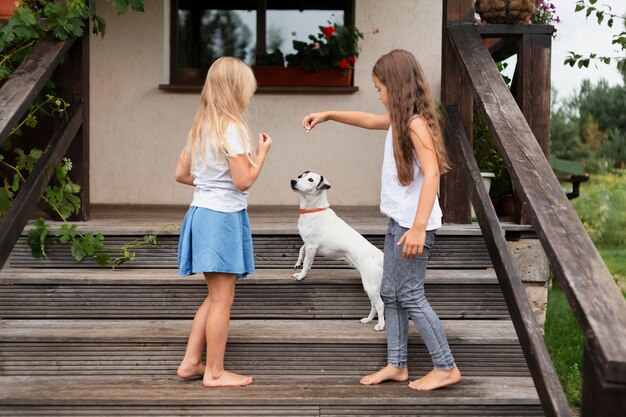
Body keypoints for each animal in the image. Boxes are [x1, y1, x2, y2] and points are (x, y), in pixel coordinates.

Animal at [290, 171, 382, 330]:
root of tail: (380, 256)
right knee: (374, 305)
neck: (313, 210)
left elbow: (307, 265)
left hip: (371, 285)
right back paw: (368, 320)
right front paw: (298, 262)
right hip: (370, 287)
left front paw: (301, 275)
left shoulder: (312, 246)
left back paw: (381, 326)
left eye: (310, 179)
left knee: (380, 305)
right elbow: (301, 249)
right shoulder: (309, 243)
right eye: (300, 175)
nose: (293, 181)